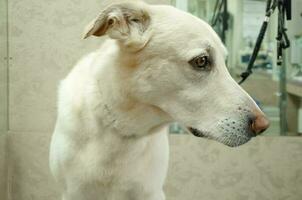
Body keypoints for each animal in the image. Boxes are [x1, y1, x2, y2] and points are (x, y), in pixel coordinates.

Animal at [49, 1, 268, 200]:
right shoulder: (73, 193)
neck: (121, 128)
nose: (263, 126)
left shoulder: (150, 193)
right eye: (201, 61)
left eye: (224, 61)